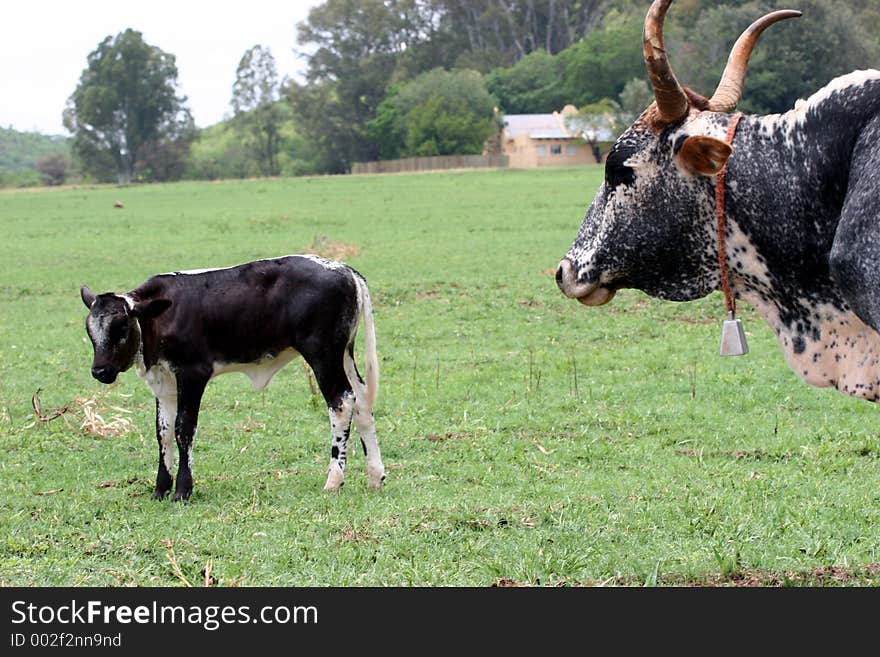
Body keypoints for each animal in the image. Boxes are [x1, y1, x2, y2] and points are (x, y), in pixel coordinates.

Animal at [81, 254, 384, 500]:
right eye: (90, 330)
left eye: (121, 327)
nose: (99, 371)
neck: (163, 315)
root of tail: (345, 270)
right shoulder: (165, 383)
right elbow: (163, 433)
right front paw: (160, 489)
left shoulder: (192, 375)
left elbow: (183, 429)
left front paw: (182, 490)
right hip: (342, 356)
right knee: (362, 404)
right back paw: (375, 476)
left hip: (323, 356)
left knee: (341, 403)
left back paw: (334, 480)